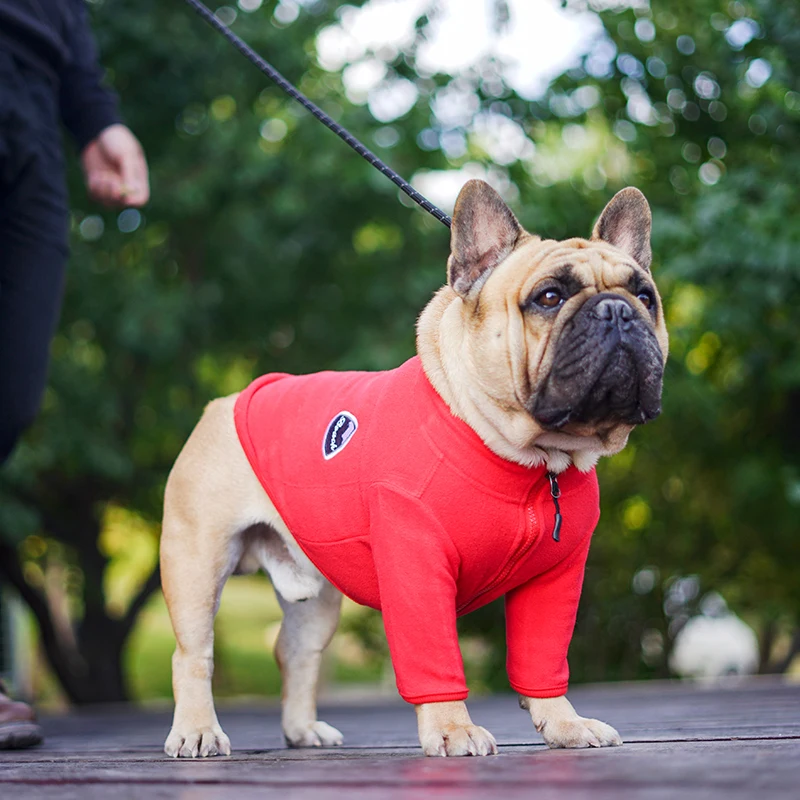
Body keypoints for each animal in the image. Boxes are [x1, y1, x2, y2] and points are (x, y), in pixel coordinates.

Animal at [161, 180, 668, 756]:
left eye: (646, 297)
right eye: (549, 298)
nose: (617, 311)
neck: (534, 459)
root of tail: (225, 402)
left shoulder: (555, 578)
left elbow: (543, 657)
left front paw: (564, 724)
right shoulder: (416, 566)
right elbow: (434, 657)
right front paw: (453, 729)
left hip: (315, 598)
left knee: (296, 652)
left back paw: (302, 729)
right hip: (197, 562)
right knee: (192, 654)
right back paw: (197, 731)